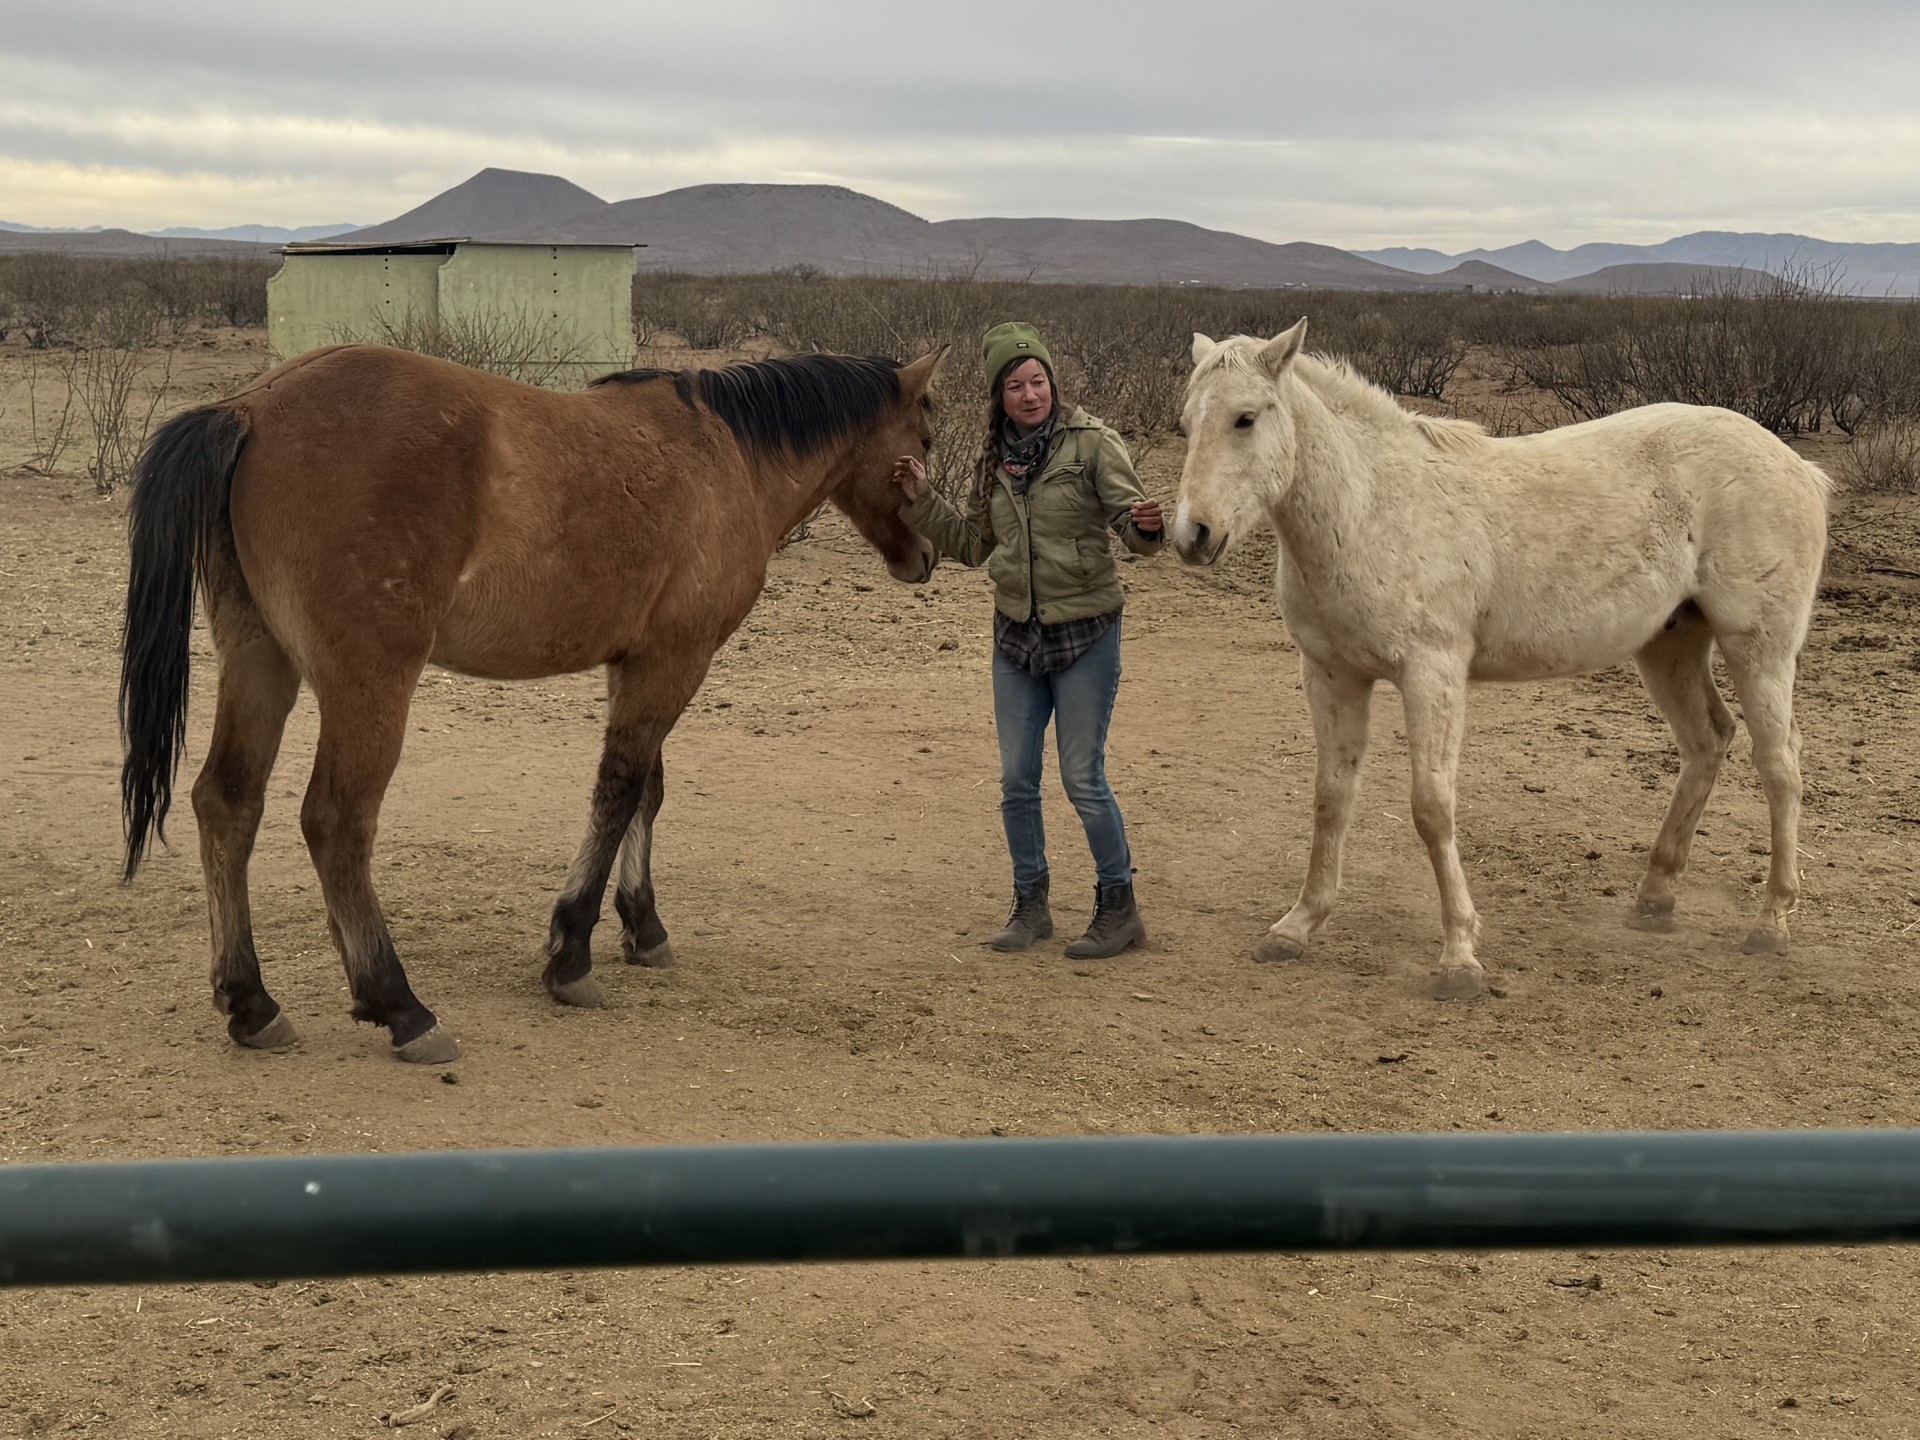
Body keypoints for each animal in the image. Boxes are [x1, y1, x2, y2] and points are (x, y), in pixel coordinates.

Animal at [120, 343, 942, 1061]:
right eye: (926, 440)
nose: (929, 556)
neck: (728, 454)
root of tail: (251, 407)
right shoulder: (674, 661)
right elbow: (619, 792)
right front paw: (570, 953)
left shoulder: (638, 662)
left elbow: (648, 791)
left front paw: (643, 927)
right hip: (369, 683)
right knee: (335, 822)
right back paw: (400, 1006)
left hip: (261, 661)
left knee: (227, 803)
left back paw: (251, 1002)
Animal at [1170, 322, 1830, 1001]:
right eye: (1187, 423)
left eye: (1246, 418)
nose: (1192, 534)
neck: (1370, 510)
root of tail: (1797, 467)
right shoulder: (1332, 676)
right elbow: (1331, 798)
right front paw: (1297, 925)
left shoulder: (1431, 674)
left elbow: (1432, 808)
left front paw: (1459, 956)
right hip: (1669, 645)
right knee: (1706, 742)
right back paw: (1654, 897)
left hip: (1759, 647)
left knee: (1779, 765)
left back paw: (1771, 921)